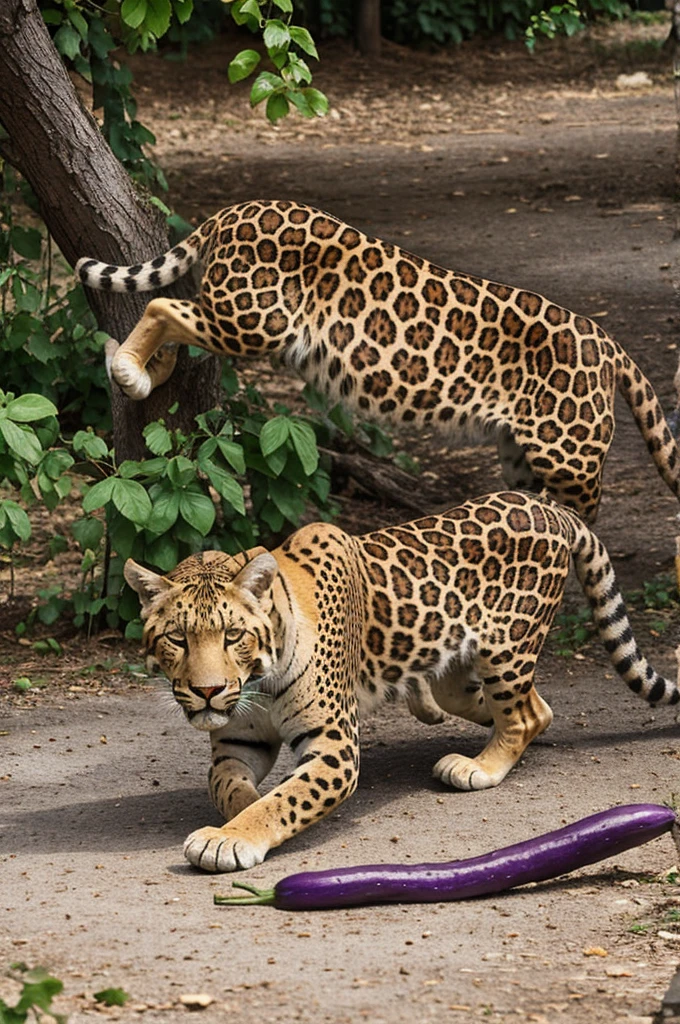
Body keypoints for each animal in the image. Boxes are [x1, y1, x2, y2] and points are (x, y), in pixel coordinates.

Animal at [123, 489, 680, 872]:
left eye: (233, 634)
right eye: (176, 639)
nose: (208, 691)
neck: (258, 676)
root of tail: (549, 506)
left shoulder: (334, 748)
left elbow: (283, 801)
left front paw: (230, 838)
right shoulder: (237, 742)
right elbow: (228, 787)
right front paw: (236, 816)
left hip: (507, 646)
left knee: (520, 714)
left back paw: (479, 767)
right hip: (464, 676)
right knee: (534, 708)